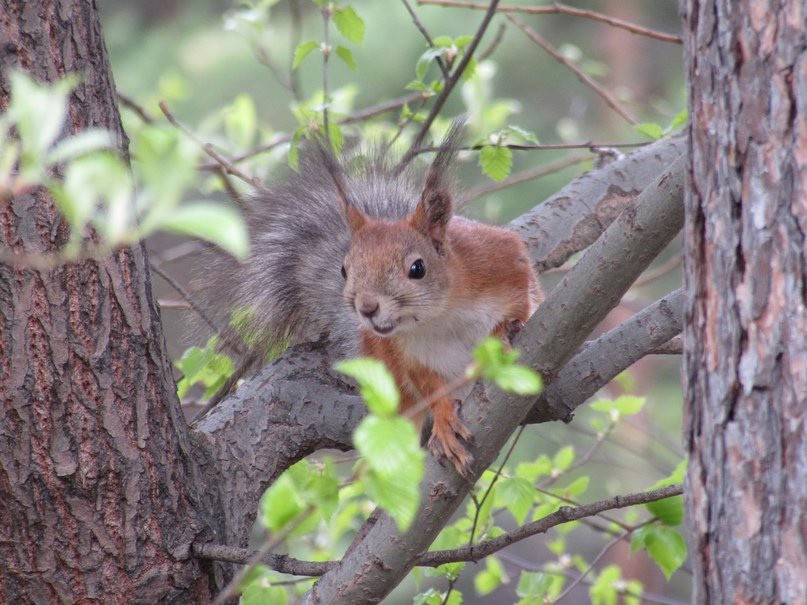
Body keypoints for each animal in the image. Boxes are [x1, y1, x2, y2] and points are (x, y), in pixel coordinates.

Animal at [202, 121, 544, 472]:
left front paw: (503, 332)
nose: (366, 308)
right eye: (343, 269)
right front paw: (444, 419)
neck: (442, 316)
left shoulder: (503, 262)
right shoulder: (408, 357)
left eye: (418, 268)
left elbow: (524, 302)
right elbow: (429, 387)